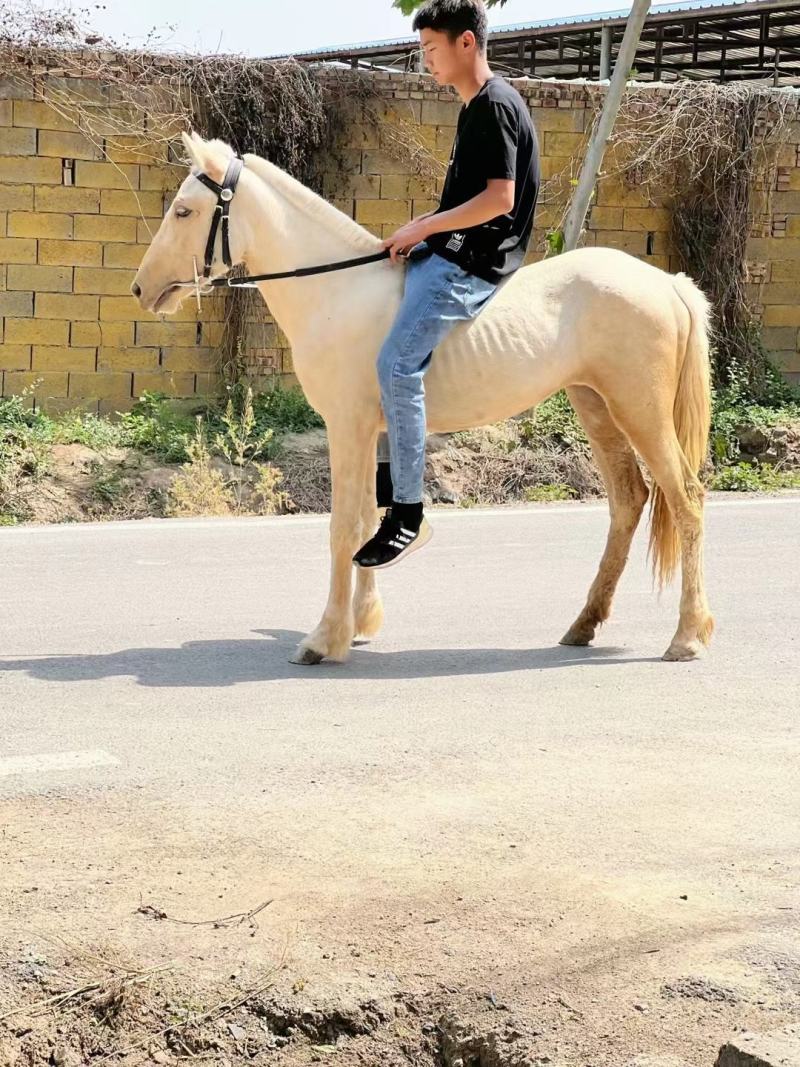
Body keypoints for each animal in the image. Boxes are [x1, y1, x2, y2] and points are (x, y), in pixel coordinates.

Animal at [132, 131, 714, 666]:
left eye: (184, 210)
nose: (141, 289)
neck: (339, 293)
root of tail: (667, 283)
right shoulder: (371, 431)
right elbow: (367, 517)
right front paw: (360, 622)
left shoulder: (347, 426)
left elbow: (344, 527)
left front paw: (324, 639)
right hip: (596, 407)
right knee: (629, 501)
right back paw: (584, 624)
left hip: (640, 411)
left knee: (686, 499)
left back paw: (687, 636)